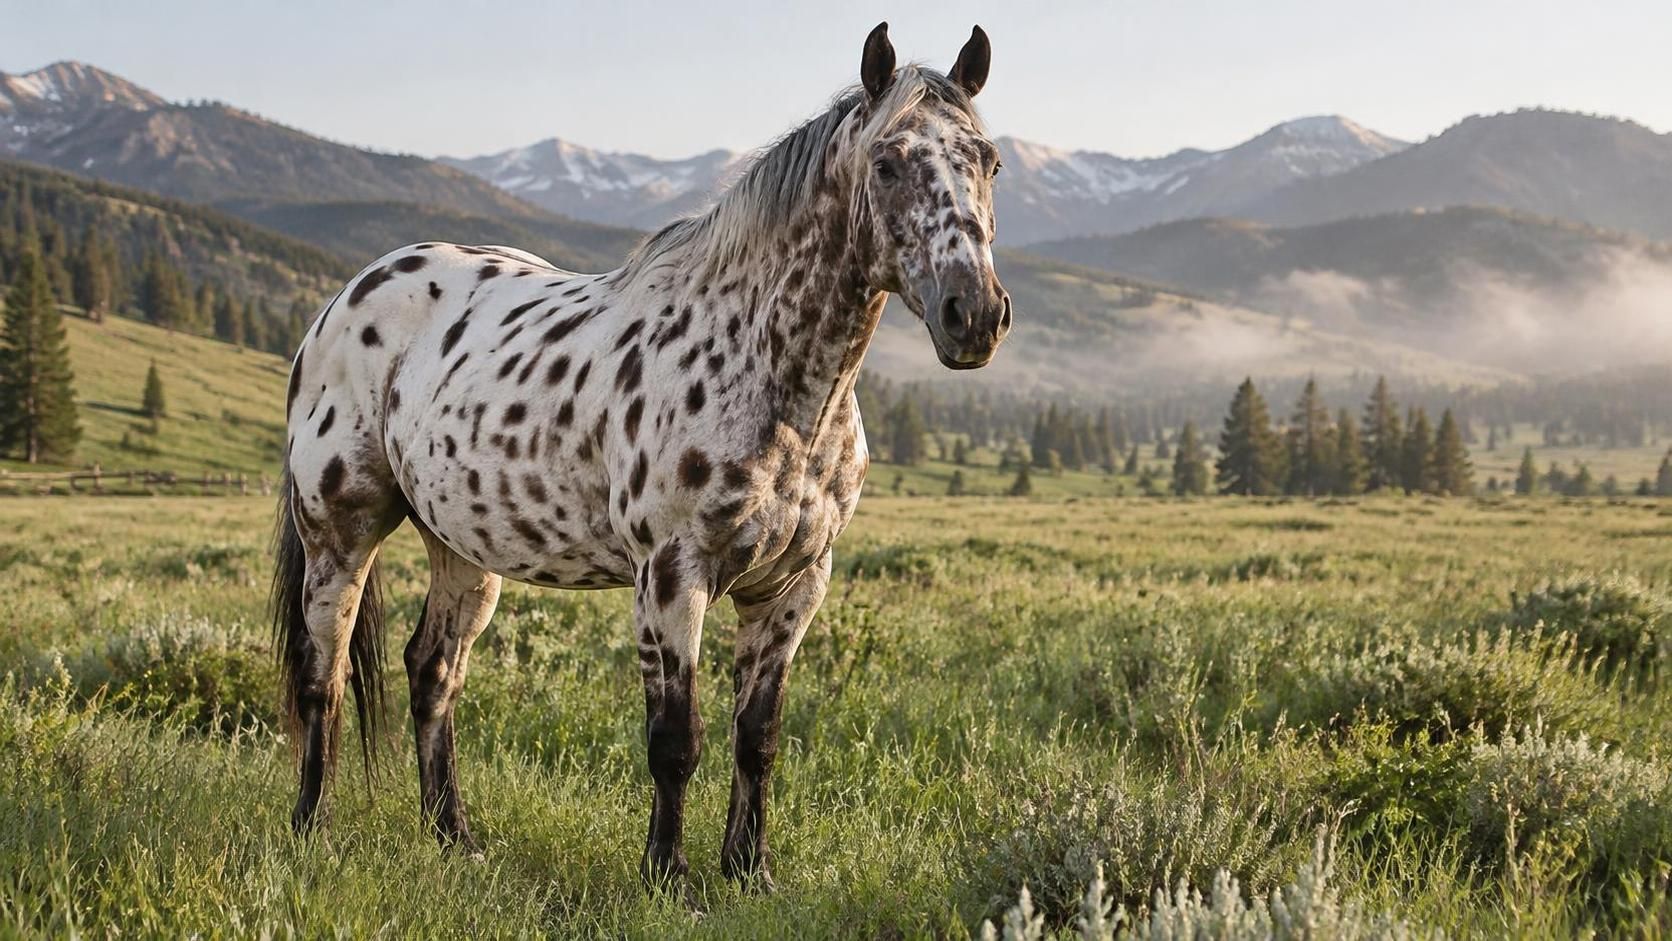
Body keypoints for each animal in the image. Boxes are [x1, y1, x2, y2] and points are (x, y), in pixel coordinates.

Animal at [272, 21, 1010, 901]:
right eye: (889, 163)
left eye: (989, 161)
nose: (974, 316)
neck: (772, 376)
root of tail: (344, 298)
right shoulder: (672, 574)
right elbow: (675, 738)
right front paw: (669, 876)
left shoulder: (795, 585)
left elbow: (758, 735)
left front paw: (750, 871)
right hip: (339, 531)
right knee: (322, 673)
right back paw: (310, 828)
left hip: (462, 546)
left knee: (432, 671)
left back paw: (455, 837)